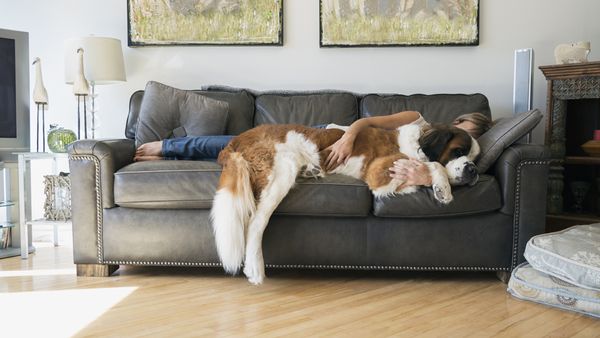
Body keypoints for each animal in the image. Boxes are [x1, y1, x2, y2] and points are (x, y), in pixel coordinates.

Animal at [211, 123, 478, 284]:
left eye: (476, 157)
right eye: (458, 151)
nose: (473, 170)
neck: (416, 145)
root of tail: (234, 141)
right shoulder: (379, 170)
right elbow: (433, 164)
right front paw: (443, 187)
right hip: (282, 169)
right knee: (256, 222)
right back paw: (255, 268)